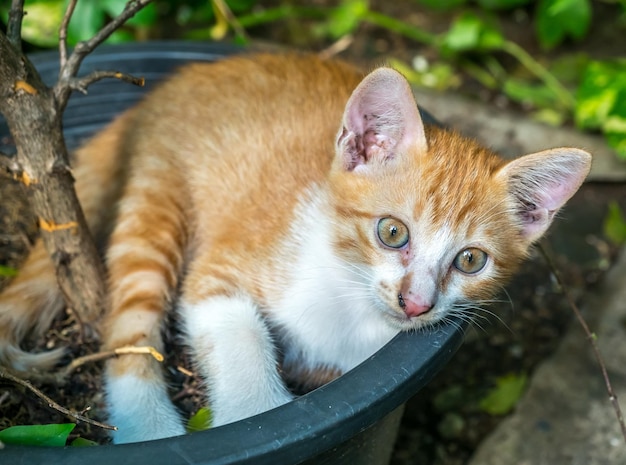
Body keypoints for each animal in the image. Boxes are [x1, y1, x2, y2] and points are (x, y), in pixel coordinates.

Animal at [0, 52, 588, 440]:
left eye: (470, 260)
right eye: (392, 232)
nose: (417, 303)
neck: (348, 299)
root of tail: (171, 84)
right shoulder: (220, 269)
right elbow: (236, 332)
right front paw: (252, 407)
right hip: (157, 196)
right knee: (130, 328)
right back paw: (150, 430)